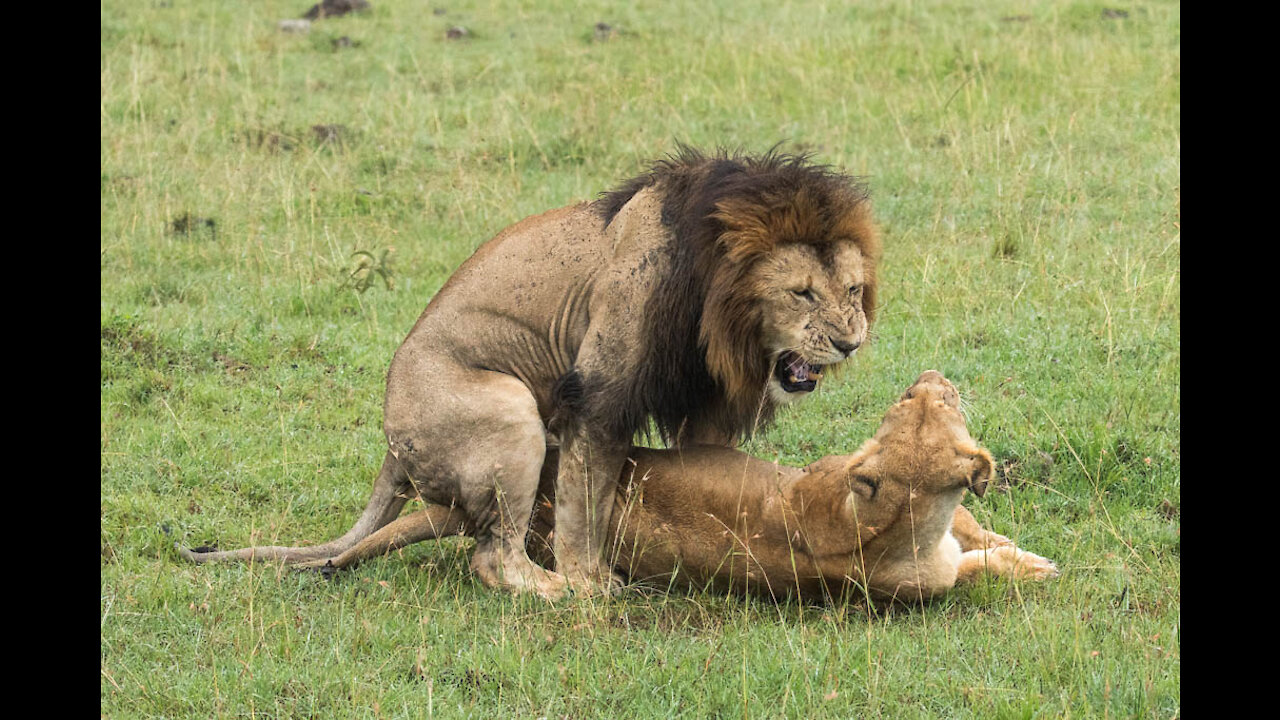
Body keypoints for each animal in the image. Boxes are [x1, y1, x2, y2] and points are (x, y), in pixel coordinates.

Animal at [180, 144, 880, 594]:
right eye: (801, 293)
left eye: (851, 290)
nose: (850, 344)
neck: (721, 308)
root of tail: (390, 443)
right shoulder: (598, 390)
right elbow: (583, 500)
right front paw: (586, 578)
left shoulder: (703, 403)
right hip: (510, 413)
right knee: (492, 560)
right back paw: (564, 591)